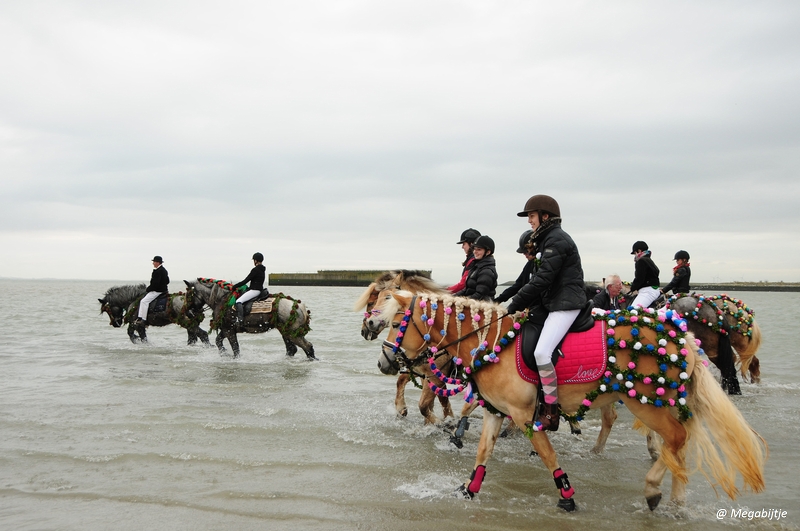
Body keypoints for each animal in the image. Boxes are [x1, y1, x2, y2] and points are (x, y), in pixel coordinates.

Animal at [184, 278, 316, 362]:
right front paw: (224, 353)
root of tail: (298, 306)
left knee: (307, 346)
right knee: (292, 349)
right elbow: (218, 341)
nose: (188, 313)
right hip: (285, 331)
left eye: (189, 295)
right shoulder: (227, 329)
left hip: (291, 333)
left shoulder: (229, 330)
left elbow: (235, 349)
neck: (222, 300)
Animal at [366, 288, 764, 512]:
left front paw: (567, 495)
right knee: (678, 442)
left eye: (397, 321)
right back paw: (676, 500)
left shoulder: (524, 415)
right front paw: (469, 490)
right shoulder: (496, 411)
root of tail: (678, 332)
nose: (384, 361)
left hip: (646, 402)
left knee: (676, 439)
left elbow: (547, 455)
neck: (493, 342)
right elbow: (482, 453)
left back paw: (654, 489)